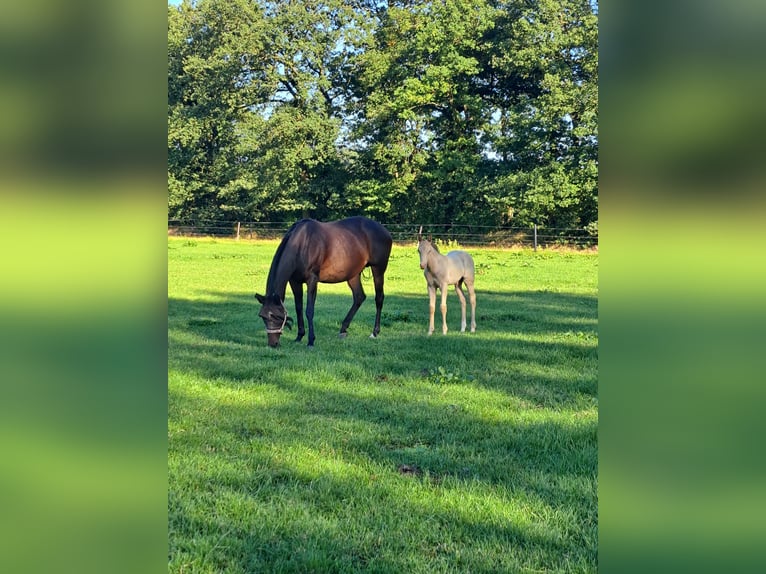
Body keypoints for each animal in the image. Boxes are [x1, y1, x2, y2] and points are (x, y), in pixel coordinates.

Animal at [256, 217, 392, 348]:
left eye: (275, 316)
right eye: (262, 316)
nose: (273, 344)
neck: (301, 244)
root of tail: (384, 230)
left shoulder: (312, 280)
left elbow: (309, 310)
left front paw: (311, 341)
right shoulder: (295, 281)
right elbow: (299, 308)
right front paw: (299, 336)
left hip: (378, 269)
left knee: (379, 298)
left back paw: (374, 332)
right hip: (353, 275)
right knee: (359, 297)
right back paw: (343, 329)